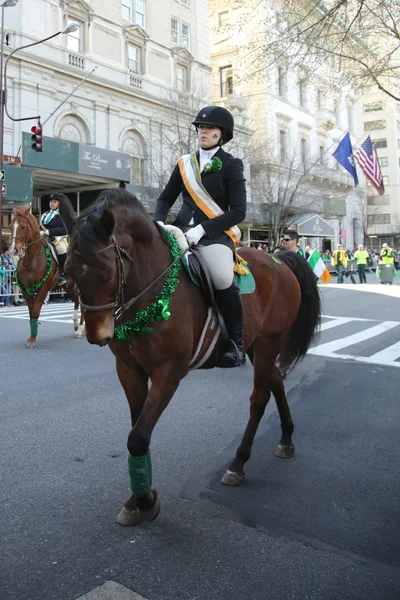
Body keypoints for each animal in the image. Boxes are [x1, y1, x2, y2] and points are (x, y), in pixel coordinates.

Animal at [9, 206, 85, 346]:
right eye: (11, 226)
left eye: (23, 226)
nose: (14, 250)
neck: (31, 260)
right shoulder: (25, 289)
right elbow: (31, 312)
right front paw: (31, 337)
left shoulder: (43, 287)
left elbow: (36, 310)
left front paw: (32, 340)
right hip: (68, 286)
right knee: (76, 298)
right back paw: (76, 324)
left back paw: (80, 329)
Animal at [58, 190, 322, 528]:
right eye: (68, 273)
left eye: (107, 272)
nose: (97, 335)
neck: (152, 292)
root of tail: (278, 259)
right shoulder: (128, 369)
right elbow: (137, 430)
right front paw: (139, 498)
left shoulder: (169, 371)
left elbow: (138, 436)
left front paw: (145, 501)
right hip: (257, 346)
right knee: (275, 381)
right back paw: (286, 439)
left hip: (268, 343)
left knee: (259, 399)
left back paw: (238, 463)